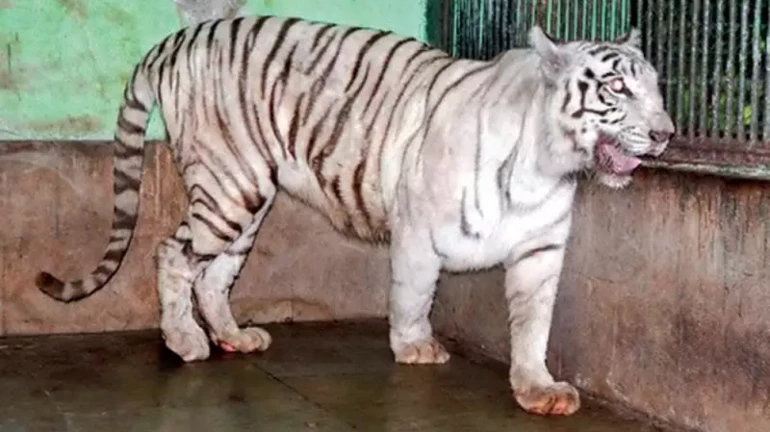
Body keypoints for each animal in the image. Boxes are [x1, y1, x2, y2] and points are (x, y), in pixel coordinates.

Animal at [35, 15, 674, 416]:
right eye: (617, 89)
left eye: (656, 88)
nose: (667, 134)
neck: (548, 163)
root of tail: (175, 39)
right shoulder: (418, 229)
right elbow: (414, 294)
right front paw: (415, 347)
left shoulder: (541, 252)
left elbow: (535, 324)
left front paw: (537, 387)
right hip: (228, 187)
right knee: (172, 253)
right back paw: (185, 340)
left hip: (245, 198)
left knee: (213, 274)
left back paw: (233, 337)